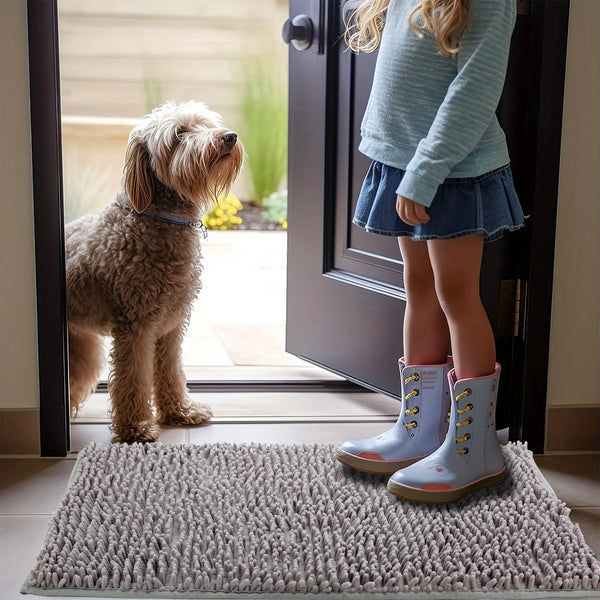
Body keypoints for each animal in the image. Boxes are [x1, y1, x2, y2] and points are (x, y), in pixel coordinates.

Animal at [66, 101, 244, 442]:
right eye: (179, 134)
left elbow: (171, 370)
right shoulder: (134, 327)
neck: (158, 218)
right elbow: (133, 379)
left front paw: (180, 411)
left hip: (82, 348)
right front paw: (135, 427)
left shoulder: (170, 325)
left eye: (205, 124)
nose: (229, 136)